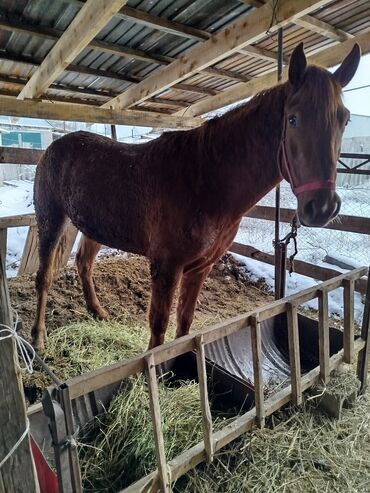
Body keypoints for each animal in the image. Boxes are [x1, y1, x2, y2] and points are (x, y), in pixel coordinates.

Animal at [32, 41, 362, 350]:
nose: (322, 207)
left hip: (93, 226)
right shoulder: (166, 268)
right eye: (292, 119)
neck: (206, 179)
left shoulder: (201, 267)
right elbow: (159, 329)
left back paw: (96, 311)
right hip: (52, 221)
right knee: (44, 276)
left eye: (344, 120)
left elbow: (184, 322)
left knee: (84, 264)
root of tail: (52, 148)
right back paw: (38, 338)